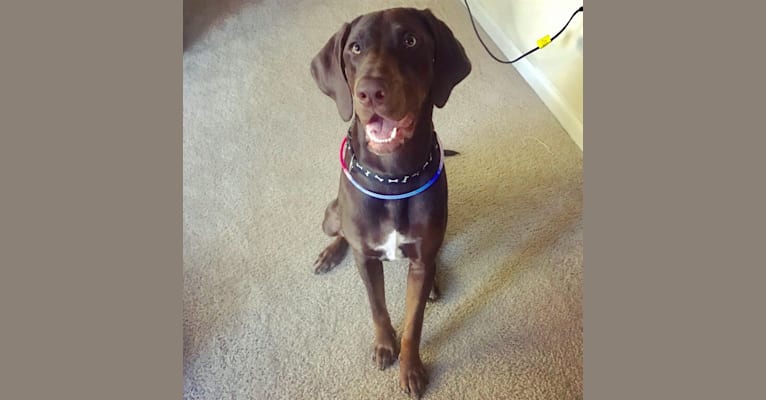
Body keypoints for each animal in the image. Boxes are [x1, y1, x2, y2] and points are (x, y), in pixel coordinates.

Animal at [308, 7, 472, 396]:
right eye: (354, 48)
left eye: (410, 40)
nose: (369, 92)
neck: (393, 179)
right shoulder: (367, 260)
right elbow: (377, 306)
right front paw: (385, 346)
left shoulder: (422, 256)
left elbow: (414, 322)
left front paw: (410, 368)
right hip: (331, 215)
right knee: (340, 233)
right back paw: (329, 254)